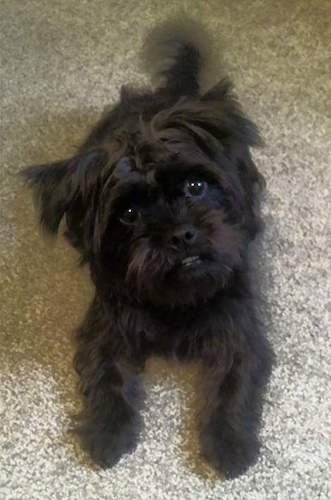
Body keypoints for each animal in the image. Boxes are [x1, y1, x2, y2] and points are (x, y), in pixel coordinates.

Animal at [23, 19, 274, 478]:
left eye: (195, 186)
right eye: (128, 214)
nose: (179, 234)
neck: (175, 299)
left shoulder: (237, 327)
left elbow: (233, 383)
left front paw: (229, 444)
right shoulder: (107, 327)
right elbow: (106, 377)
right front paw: (107, 433)